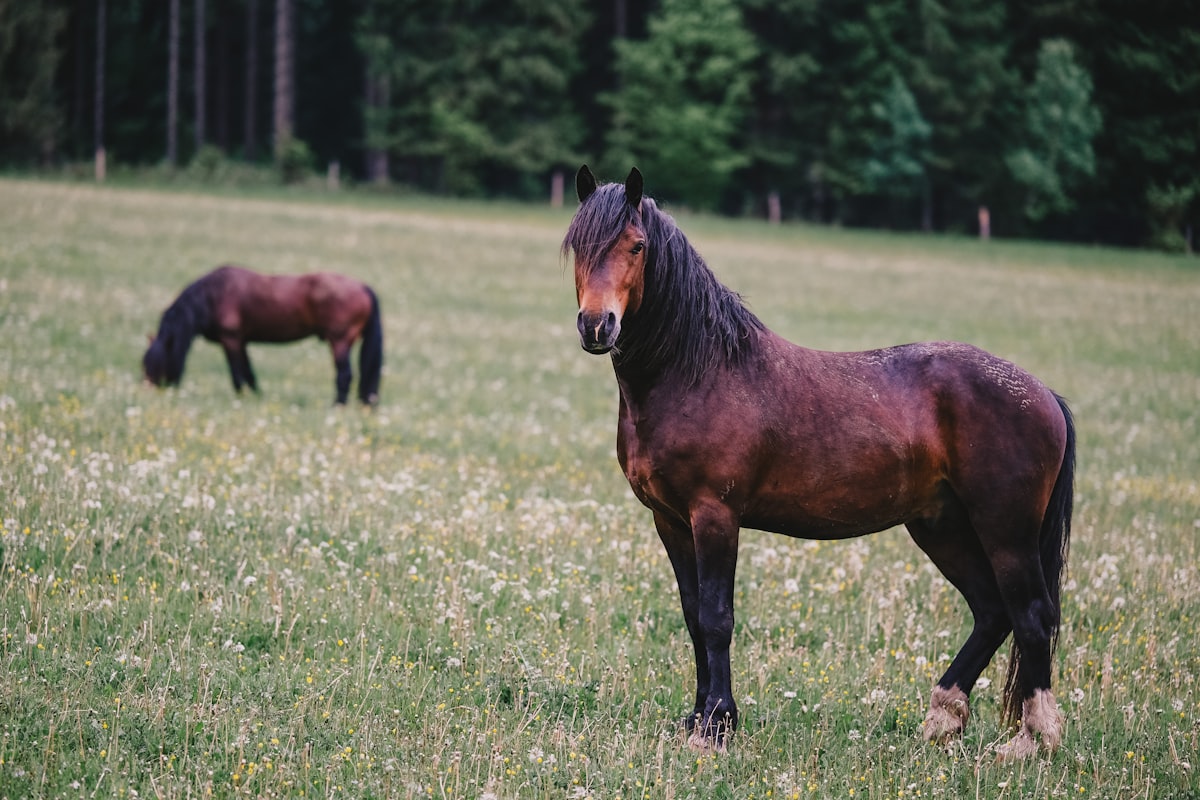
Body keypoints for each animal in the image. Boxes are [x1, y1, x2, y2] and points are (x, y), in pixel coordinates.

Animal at [143, 265, 383, 405]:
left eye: (152, 363)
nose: (149, 391)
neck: (212, 296)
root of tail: (363, 287)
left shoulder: (230, 340)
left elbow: (237, 375)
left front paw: (241, 399)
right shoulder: (241, 342)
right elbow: (249, 373)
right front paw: (258, 397)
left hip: (339, 341)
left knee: (344, 375)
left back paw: (337, 406)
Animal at [563, 166, 1075, 760]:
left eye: (637, 246)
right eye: (578, 246)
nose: (596, 326)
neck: (699, 373)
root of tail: (1043, 394)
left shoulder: (715, 516)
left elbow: (716, 619)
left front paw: (716, 726)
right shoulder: (668, 519)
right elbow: (692, 617)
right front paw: (696, 720)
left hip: (1005, 529)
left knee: (1031, 614)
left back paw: (1033, 742)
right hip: (941, 527)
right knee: (992, 611)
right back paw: (942, 720)